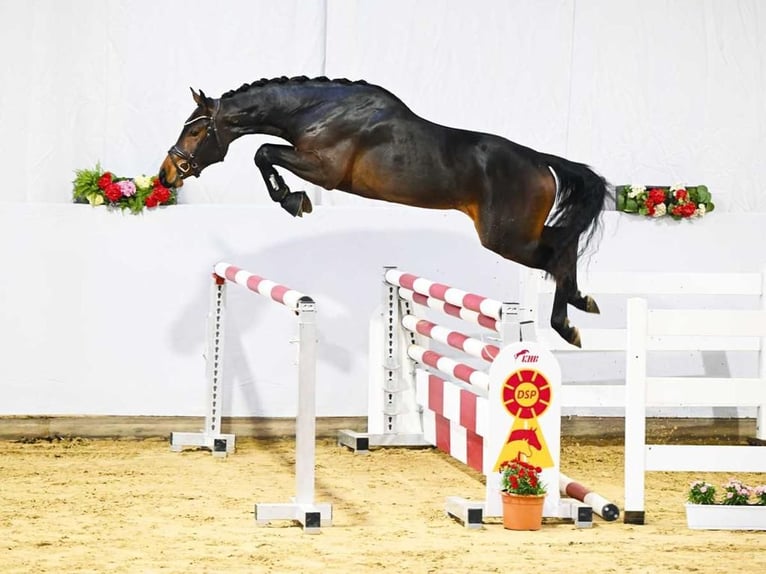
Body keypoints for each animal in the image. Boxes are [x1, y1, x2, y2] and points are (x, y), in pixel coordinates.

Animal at [159, 76, 608, 346]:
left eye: (196, 130)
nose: (167, 174)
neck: (316, 111)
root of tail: (540, 161)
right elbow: (265, 153)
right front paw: (292, 198)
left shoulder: (324, 170)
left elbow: (263, 151)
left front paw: (292, 199)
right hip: (515, 234)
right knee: (562, 247)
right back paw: (576, 311)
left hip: (505, 236)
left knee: (555, 255)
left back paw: (570, 319)